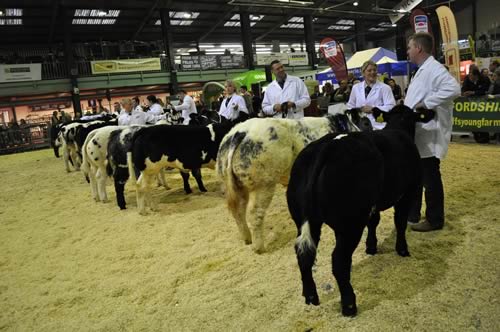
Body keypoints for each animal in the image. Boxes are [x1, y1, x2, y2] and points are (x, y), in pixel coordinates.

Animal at [288, 105, 436, 316]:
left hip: (305, 219)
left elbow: (374, 222)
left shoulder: (373, 205)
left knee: (304, 255)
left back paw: (311, 297)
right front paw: (402, 249)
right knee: (339, 261)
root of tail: (326, 147)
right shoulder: (408, 192)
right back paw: (349, 305)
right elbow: (399, 222)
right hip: (350, 222)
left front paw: (371, 247)